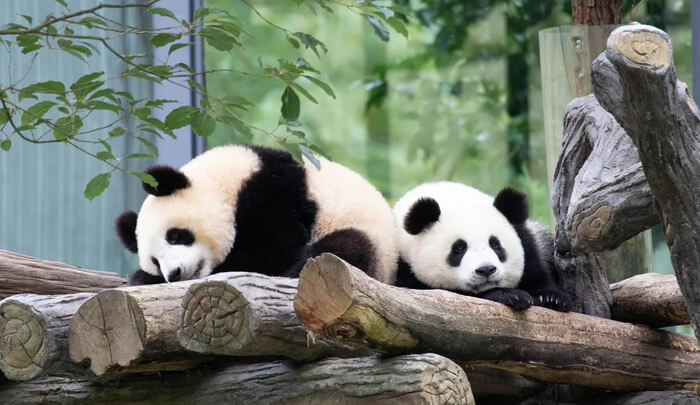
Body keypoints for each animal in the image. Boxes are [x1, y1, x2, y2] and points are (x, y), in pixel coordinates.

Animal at [115, 144, 398, 285]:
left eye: (175, 236)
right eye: (154, 260)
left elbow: (274, 250)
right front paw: (144, 277)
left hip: (371, 246)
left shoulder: (271, 193)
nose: (173, 274)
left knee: (345, 247)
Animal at [392, 181, 570, 312]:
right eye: (459, 248)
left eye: (495, 244)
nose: (486, 270)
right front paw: (512, 295)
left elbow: (535, 271)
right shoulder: (402, 267)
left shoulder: (527, 240)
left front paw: (551, 297)